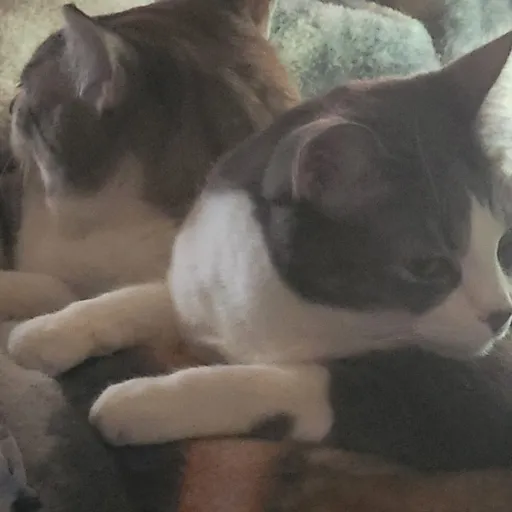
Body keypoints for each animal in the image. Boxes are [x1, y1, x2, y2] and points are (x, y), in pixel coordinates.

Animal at [9, 29, 512, 452]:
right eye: (428, 266)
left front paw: (140, 401)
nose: (502, 314)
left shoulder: (459, 393)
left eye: (500, 239)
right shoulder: (199, 287)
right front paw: (48, 330)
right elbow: (142, 297)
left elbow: (303, 380)